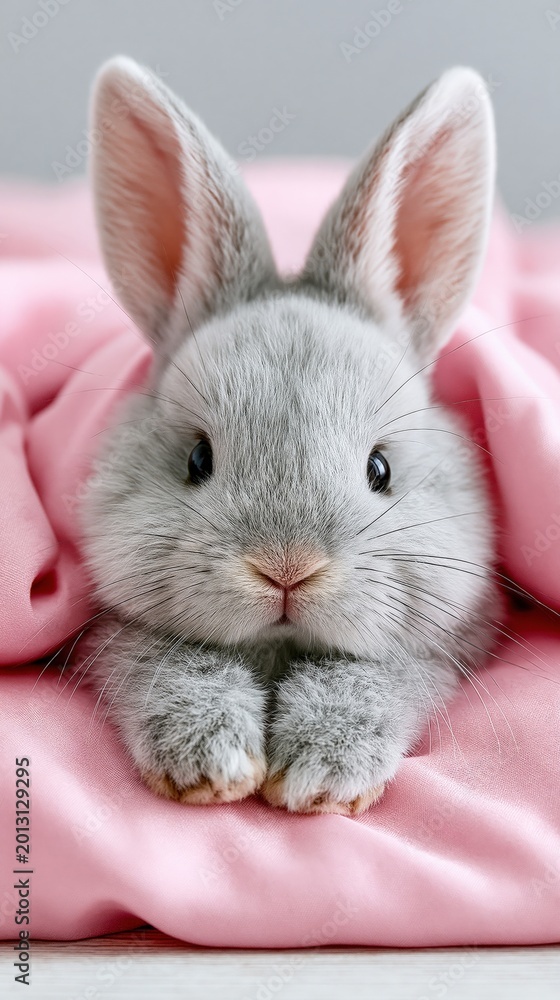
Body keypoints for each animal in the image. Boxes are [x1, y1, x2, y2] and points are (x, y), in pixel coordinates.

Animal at [76, 56, 502, 815]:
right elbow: (167, 666)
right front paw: (212, 766)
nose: (287, 567)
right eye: (197, 457)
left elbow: (374, 681)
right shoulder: (116, 635)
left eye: (380, 470)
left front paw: (321, 778)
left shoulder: (436, 648)